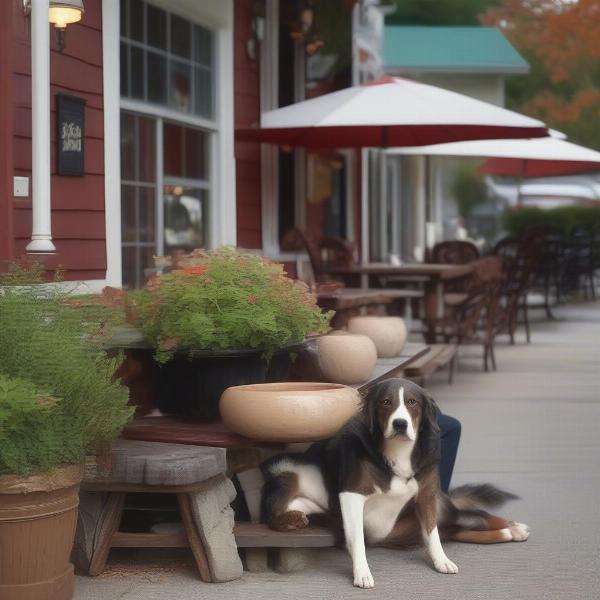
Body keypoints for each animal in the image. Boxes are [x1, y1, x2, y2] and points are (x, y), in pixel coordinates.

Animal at [260, 382, 528, 588]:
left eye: (412, 402)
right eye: (386, 402)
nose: (400, 424)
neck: (397, 454)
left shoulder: (427, 495)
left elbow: (433, 536)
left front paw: (441, 561)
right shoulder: (349, 494)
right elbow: (356, 538)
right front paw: (362, 573)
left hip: (440, 510)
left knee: (472, 516)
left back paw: (514, 527)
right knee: (462, 528)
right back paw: (508, 532)